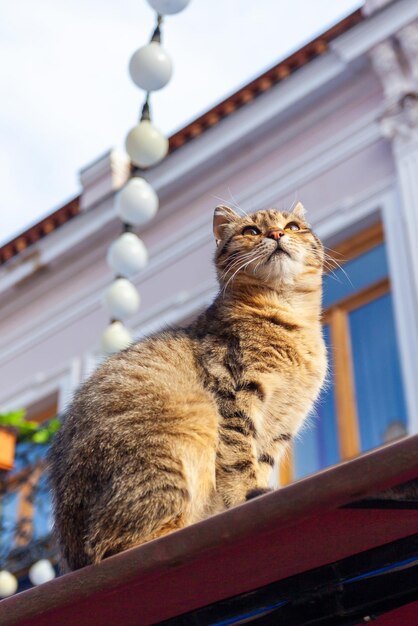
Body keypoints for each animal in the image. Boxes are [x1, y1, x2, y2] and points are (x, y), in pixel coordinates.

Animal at [49, 202, 328, 568]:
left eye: (293, 226)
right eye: (251, 231)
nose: (277, 233)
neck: (291, 319)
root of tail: (71, 554)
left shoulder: (281, 425)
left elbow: (261, 463)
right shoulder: (232, 396)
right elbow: (241, 461)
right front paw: (249, 494)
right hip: (179, 438)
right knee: (114, 545)